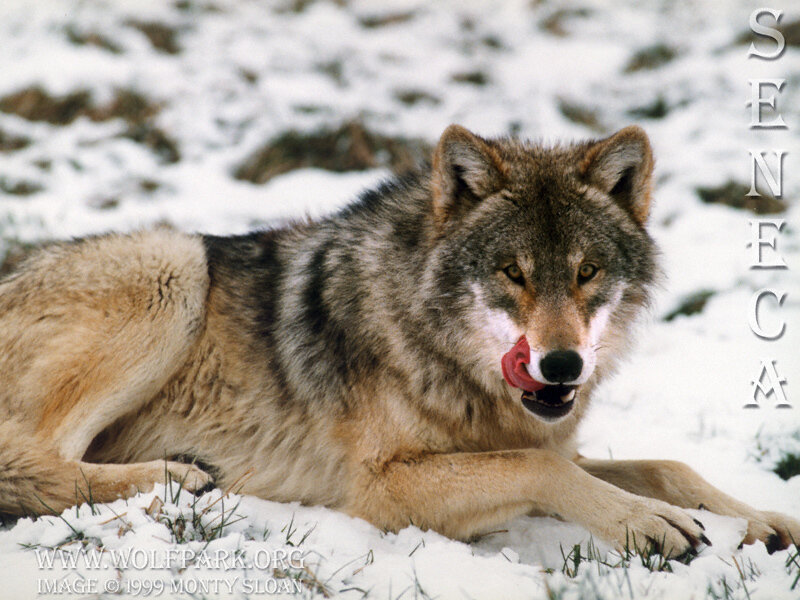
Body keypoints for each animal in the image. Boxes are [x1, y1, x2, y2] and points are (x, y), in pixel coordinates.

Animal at [0, 124, 797, 557]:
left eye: (586, 273)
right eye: (512, 272)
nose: (561, 363)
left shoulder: (550, 440)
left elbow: (667, 465)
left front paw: (763, 520)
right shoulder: (382, 487)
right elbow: (541, 469)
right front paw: (645, 525)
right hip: (174, 265)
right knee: (31, 462)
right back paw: (176, 476)